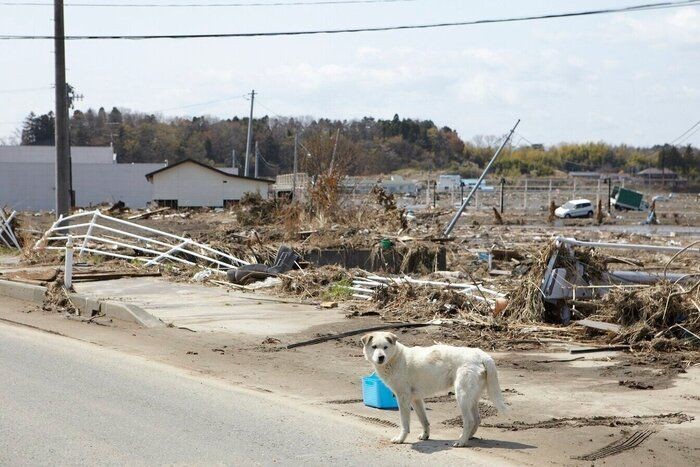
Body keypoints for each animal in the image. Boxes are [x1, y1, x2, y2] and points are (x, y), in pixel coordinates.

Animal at [364, 330, 506, 448]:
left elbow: (405, 424)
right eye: (374, 347)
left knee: (470, 421)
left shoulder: (403, 398)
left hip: (462, 396)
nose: (381, 357)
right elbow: (424, 420)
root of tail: (482, 355)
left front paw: (400, 439)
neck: (395, 358)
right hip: (472, 398)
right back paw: (466, 437)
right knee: (477, 419)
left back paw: (461, 442)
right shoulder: (416, 399)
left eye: (385, 347)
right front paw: (425, 435)